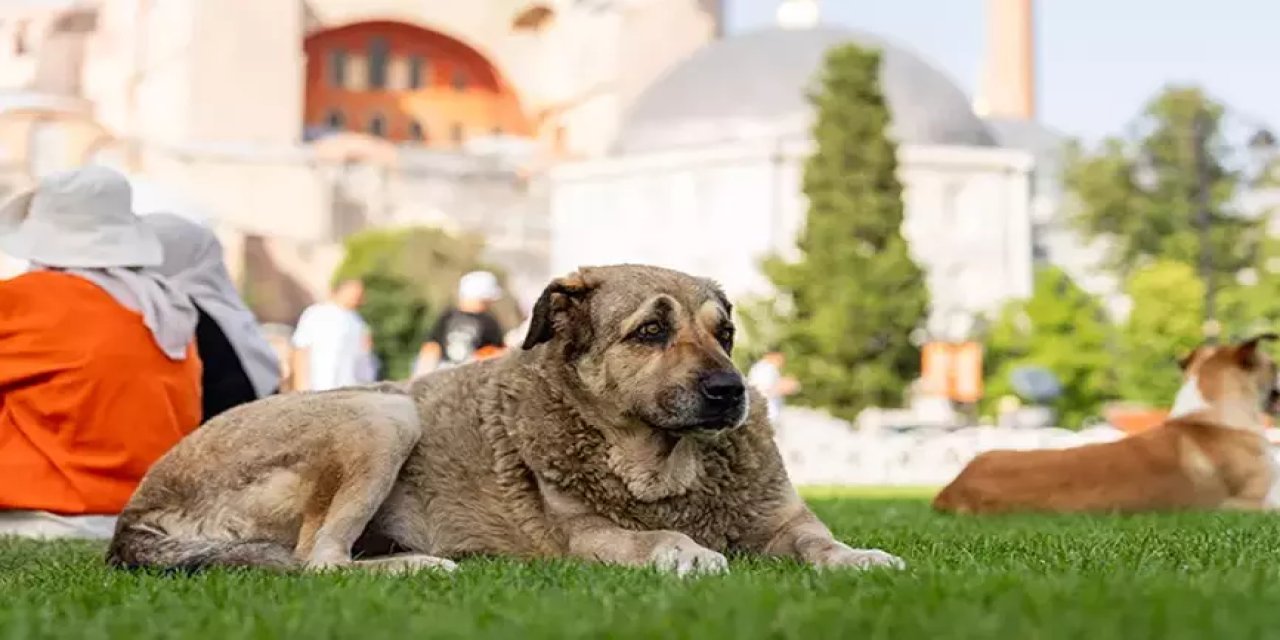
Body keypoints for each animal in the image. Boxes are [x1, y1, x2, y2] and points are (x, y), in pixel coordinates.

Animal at [112, 263, 911, 576]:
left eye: (726, 334)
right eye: (651, 332)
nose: (730, 391)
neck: (667, 465)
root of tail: (135, 517)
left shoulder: (782, 521)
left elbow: (819, 540)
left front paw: (858, 557)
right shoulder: (590, 535)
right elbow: (654, 538)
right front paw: (681, 549)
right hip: (382, 410)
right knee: (319, 561)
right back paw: (417, 567)